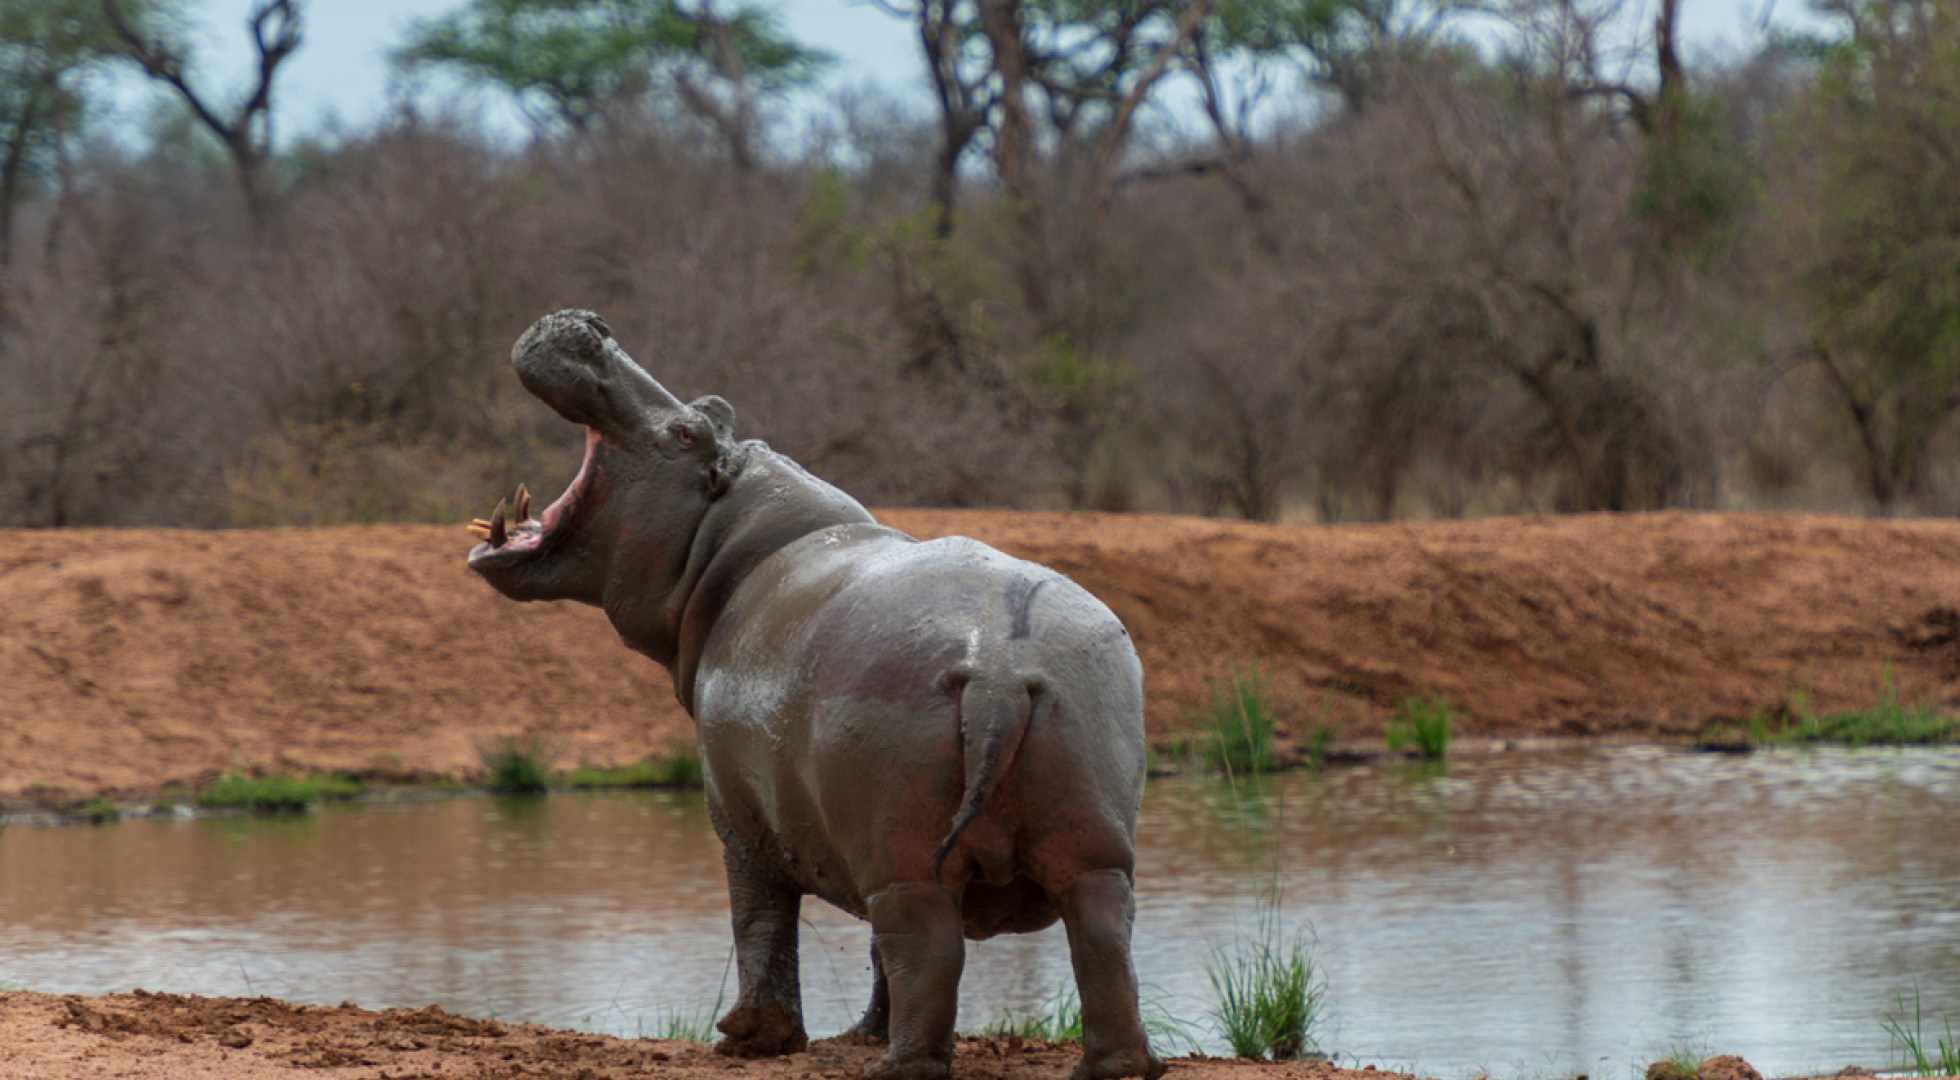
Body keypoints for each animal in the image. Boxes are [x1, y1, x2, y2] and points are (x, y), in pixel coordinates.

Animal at [465, 310, 1164, 1080]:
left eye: (687, 431)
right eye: (708, 410)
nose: (589, 326)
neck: (726, 541)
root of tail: (1001, 669)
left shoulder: (737, 817)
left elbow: (759, 920)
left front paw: (749, 1038)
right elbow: (863, 953)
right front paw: (855, 1033)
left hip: (905, 859)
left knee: (926, 950)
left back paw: (896, 1068)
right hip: (1086, 837)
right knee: (1098, 939)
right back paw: (1110, 1066)